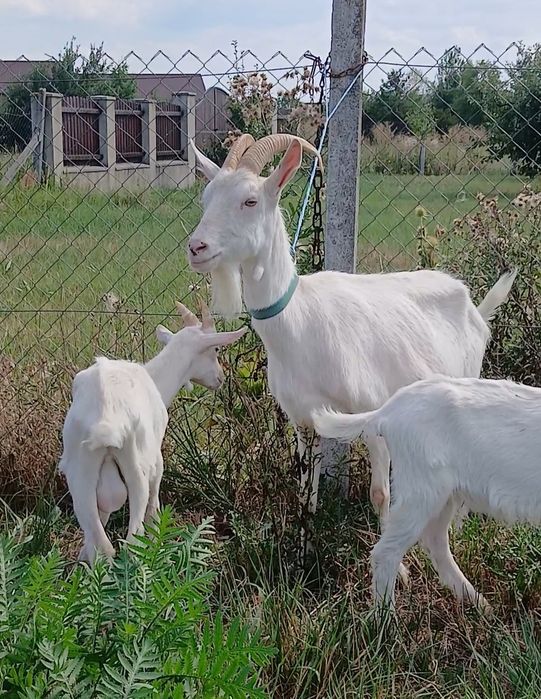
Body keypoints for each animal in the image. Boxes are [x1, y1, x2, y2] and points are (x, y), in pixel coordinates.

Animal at [59, 302, 246, 563]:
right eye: (216, 349)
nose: (219, 378)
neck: (156, 379)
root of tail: (106, 419)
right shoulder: (157, 462)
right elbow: (154, 509)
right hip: (138, 468)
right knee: (131, 540)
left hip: (79, 473)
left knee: (100, 544)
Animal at [187, 132, 515, 568]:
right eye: (206, 198)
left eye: (250, 201)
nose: (196, 247)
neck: (299, 322)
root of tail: (474, 308)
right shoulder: (303, 420)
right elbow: (306, 494)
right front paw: (303, 555)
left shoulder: (372, 414)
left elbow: (380, 493)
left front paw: (400, 569)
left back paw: (457, 530)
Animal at [312, 376, 541, 612]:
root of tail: (387, 411)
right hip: (421, 491)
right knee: (386, 552)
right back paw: (385, 617)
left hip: (444, 495)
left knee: (435, 542)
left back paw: (479, 605)